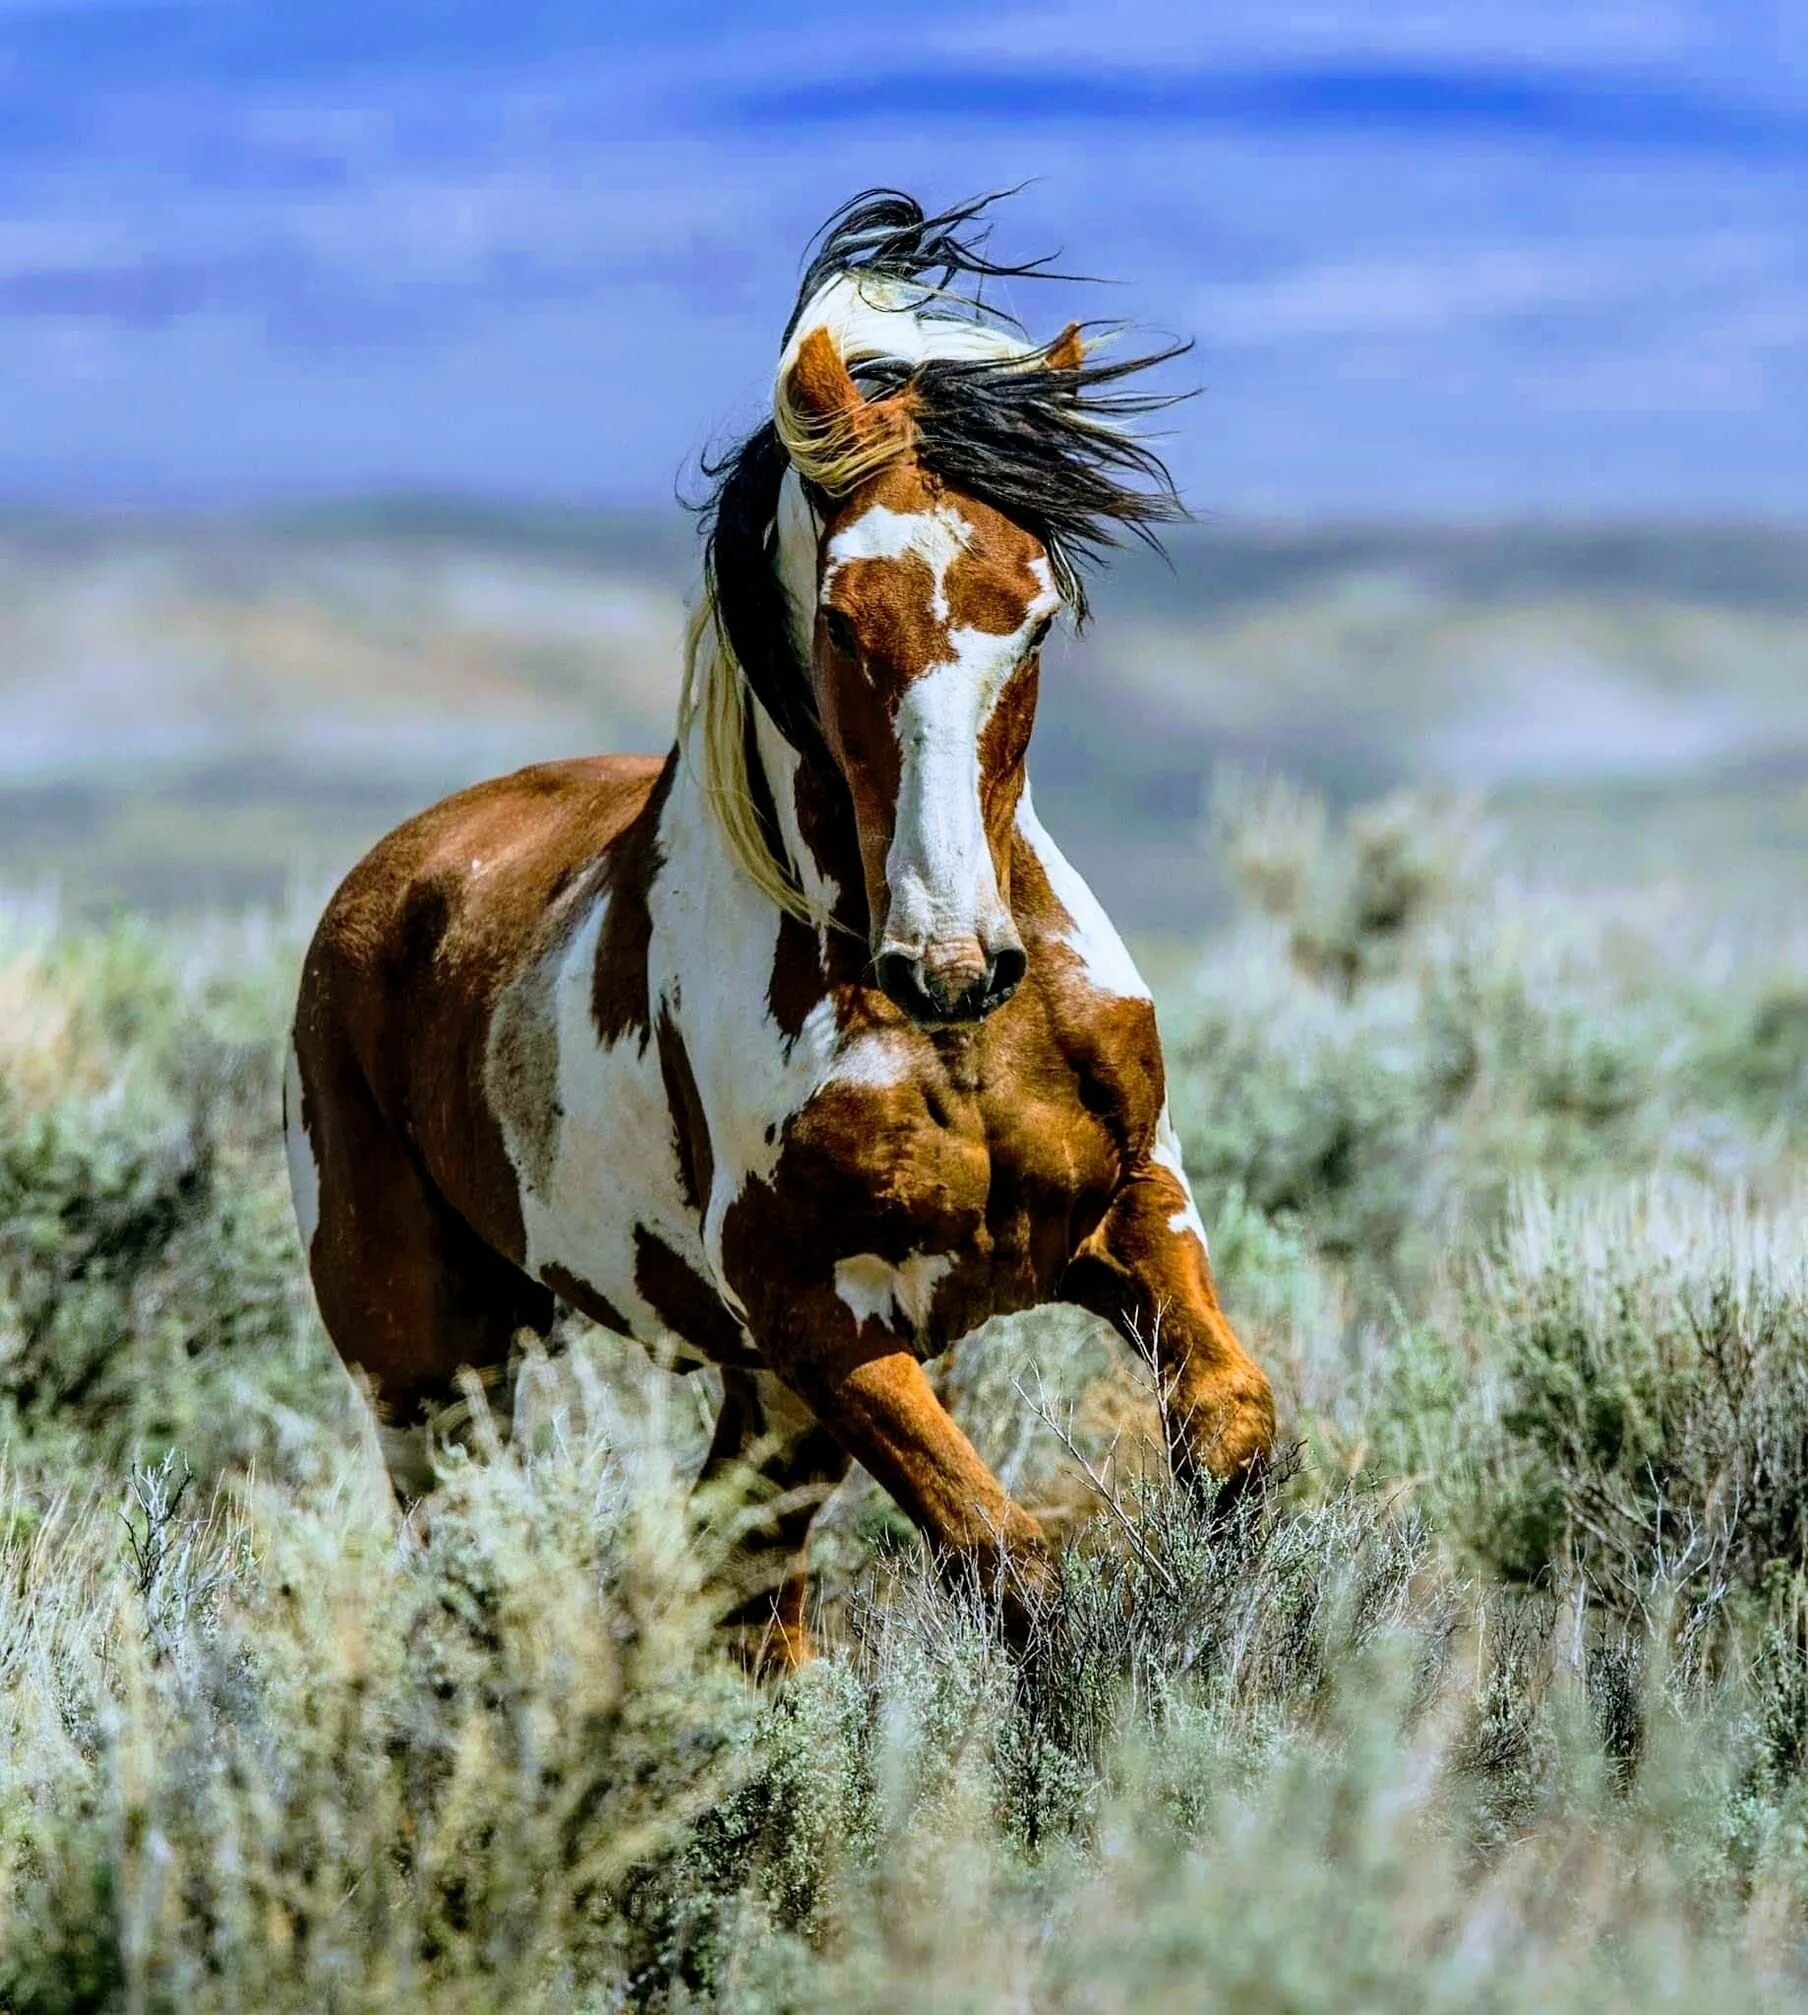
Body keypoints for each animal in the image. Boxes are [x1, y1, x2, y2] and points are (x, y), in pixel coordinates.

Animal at [286, 192, 1273, 1668]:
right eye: (844, 621)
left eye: (1036, 614)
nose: (951, 961)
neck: (943, 1043)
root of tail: (388, 876)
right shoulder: (823, 1320)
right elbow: (1014, 1565)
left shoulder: (1134, 1208)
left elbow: (1229, 1438)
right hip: (428, 1365)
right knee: (477, 1579)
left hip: (763, 1413)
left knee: (741, 1596)